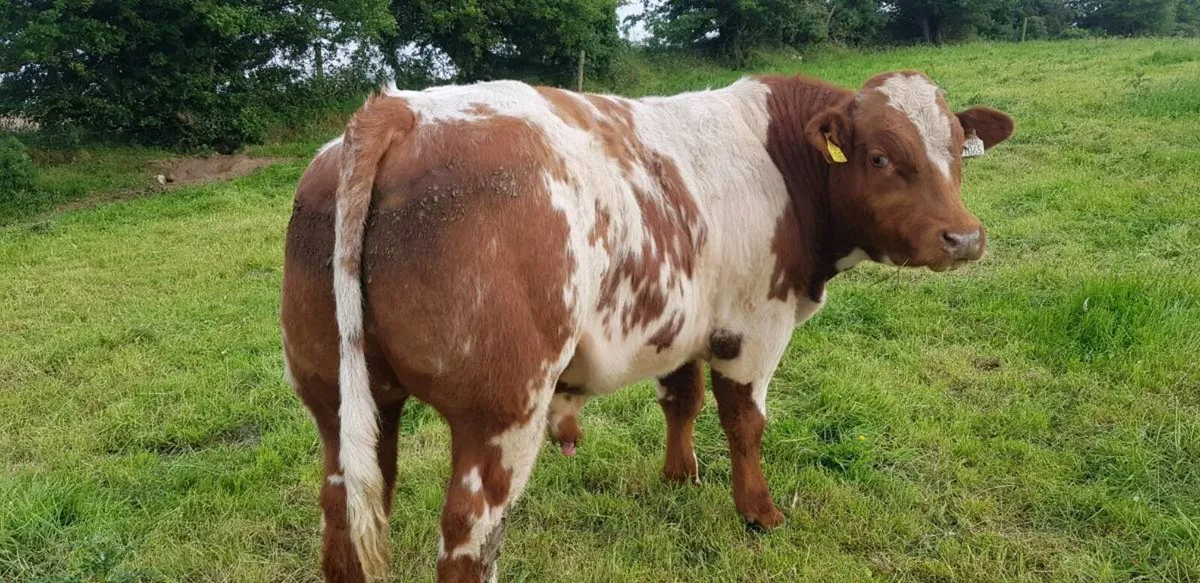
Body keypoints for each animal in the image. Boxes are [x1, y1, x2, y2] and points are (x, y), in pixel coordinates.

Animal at [280, 70, 1013, 582]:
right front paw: (759, 512)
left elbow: (681, 397)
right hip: (501, 409)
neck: (782, 157)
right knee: (468, 535)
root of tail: (399, 109)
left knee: (343, 513)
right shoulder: (755, 325)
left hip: (343, 400)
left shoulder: (685, 319)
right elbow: (744, 420)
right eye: (880, 156)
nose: (964, 238)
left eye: (959, 150)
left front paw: (680, 474)